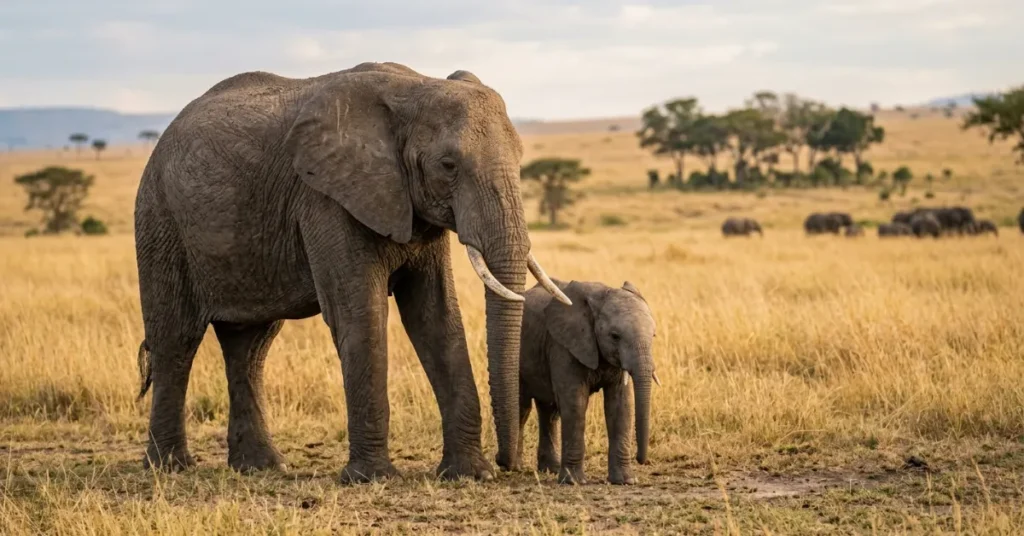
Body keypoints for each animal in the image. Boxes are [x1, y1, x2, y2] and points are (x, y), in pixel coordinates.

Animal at [132, 62, 571, 483]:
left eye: (520, 159)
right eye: (448, 165)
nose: (508, 464)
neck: (414, 87)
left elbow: (436, 319)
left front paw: (469, 474)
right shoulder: (325, 198)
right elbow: (360, 314)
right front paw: (372, 478)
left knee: (250, 347)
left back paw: (262, 467)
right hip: (160, 219)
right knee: (176, 340)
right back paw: (169, 467)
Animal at [518, 279, 659, 486]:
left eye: (653, 336)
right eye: (615, 336)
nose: (642, 460)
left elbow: (621, 405)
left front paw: (626, 481)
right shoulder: (564, 345)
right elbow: (575, 402)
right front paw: (574, 482)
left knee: (548, 411)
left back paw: (550, 469)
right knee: (521, 407)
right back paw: (514, 466)